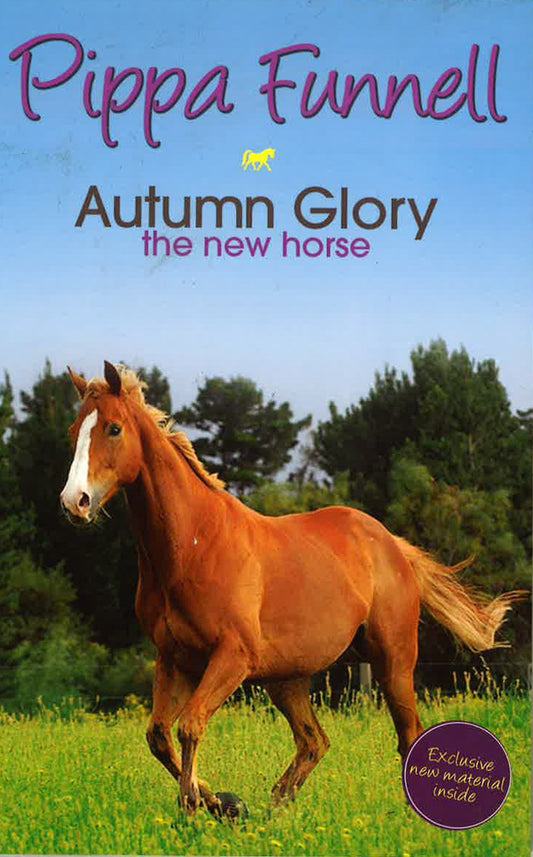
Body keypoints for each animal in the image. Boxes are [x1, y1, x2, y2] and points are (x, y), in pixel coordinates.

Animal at [60, 361, 521, 818]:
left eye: (114, 428)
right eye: (74, 430)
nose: (74, 502)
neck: (193, 545)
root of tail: (392, 544)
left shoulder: (231, 657)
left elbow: (190, 725)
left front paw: (195, 807)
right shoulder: (175, 659)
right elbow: (159, 735)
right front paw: (219, 802)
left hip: (393, 661)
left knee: (407, 735)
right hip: (287, 679)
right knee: (314, 741)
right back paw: (273, 811)